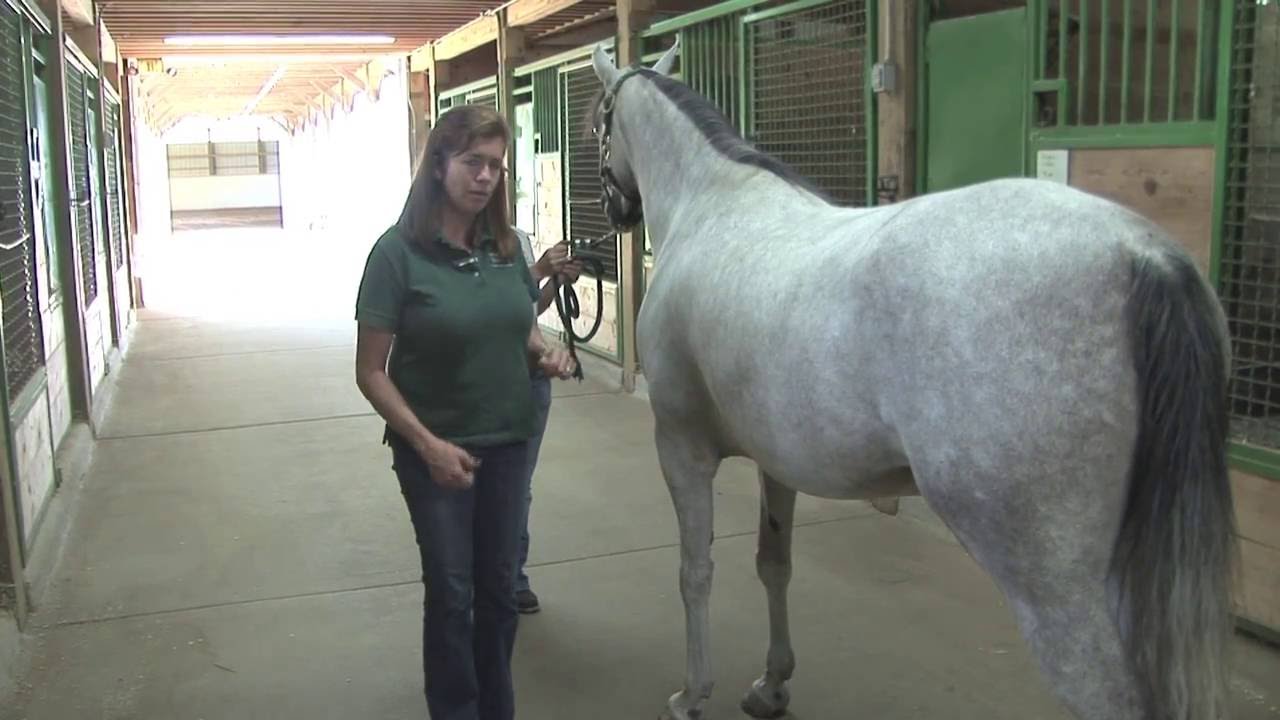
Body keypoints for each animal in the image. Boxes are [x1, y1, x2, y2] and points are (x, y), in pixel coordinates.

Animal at [588, 37, 1239, 717]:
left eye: (599, 126)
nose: (615, 209)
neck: (713, 206)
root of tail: (1143, 256)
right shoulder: (776, 459)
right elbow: (774, 562)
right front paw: (771, 684)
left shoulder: (682, 448)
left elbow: (695, 571)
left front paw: (693, 693)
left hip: (1059, 591)